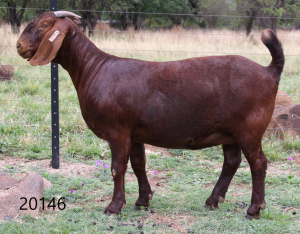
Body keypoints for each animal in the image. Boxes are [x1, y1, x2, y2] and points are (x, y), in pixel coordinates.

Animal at [16, 11, 284, 219]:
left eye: (43, 25)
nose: (19, 46)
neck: (94, 68)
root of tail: (269, 71)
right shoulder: (134, 133)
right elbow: (138, 164)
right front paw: (142, 200)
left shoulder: (117, 130)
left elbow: (117, 167)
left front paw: (114, 207)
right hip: (229, 131)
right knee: (231, 161)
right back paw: (212, 200)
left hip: (249, 127)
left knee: (258, 163)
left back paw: (254, 209)